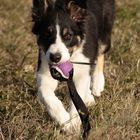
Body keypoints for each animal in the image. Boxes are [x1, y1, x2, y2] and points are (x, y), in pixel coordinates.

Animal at [31, 0, 115, 134]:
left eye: (68, 36)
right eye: (47, 34)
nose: (55, 57)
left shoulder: (82, 66)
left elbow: (77, 98)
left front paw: (74, 124)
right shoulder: (45, 70)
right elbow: (47, 96)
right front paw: (65, 121)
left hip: (106, 27)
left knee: (101, 53)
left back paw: (97, 84)